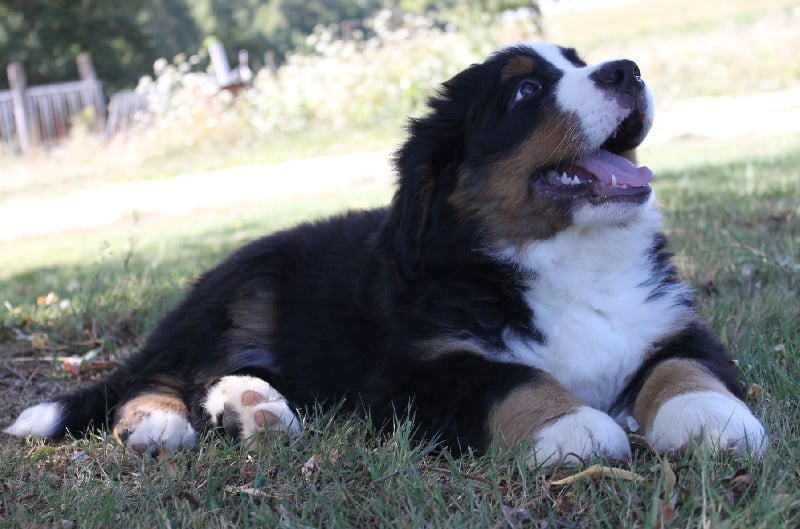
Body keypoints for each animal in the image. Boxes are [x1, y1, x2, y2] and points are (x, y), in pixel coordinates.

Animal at [7, 42, 768, 462]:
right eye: (526, 89)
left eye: (581, 63)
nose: (628, 71)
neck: (564, 256)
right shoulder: (418, 367)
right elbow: (509, 378)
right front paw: (573, 425)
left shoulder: (668, 321)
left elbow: (683, 365)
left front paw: (713, 418)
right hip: (239, 294)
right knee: (159, 373)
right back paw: (161, 424)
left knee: (211, 375)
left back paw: (253, 406)